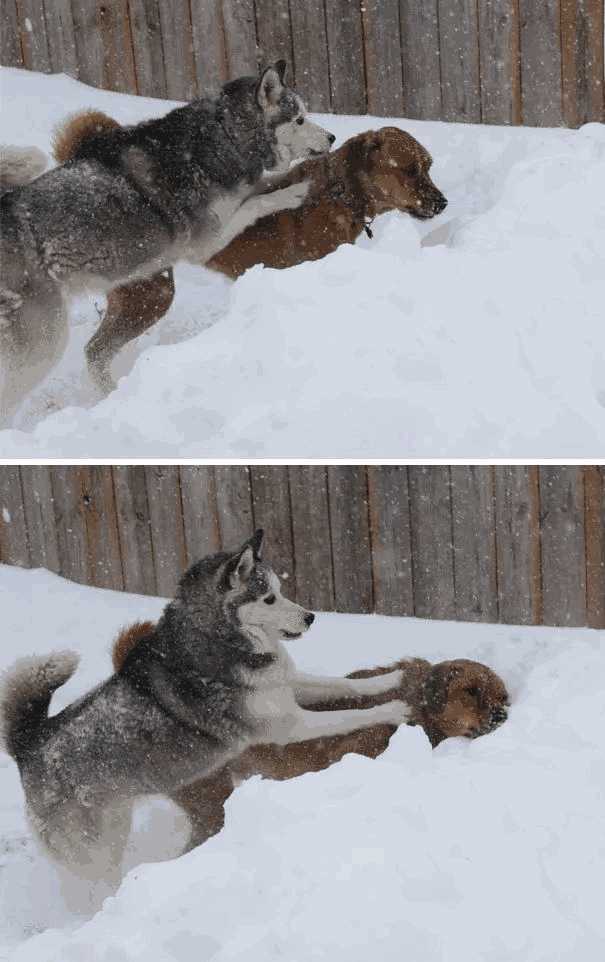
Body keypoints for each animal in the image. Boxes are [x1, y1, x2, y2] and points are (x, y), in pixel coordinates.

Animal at [0, 63, 332, 416]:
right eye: (299, 119)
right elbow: (257, 203)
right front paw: (295, 192)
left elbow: (262, 187)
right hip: (45, 341)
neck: (225, 136)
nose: (332, 137)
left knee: (94, 354)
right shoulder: (205, 242)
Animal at [0, 528, 408, 888]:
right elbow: (349, 716)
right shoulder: (288, 725)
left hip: (116, 825)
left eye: (280, 591)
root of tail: (27, 743)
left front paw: (389, 680)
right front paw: (393, 709)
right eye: (269, 599)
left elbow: (342, 684)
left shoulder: (285, 687)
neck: (221, 639)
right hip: (94, 850)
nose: (310, 616)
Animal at [52, 109, 446, 386]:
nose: (442, 203)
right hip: (151, 294)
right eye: (409, 170)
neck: (339, 193)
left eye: (428, 165)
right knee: (96, 351)